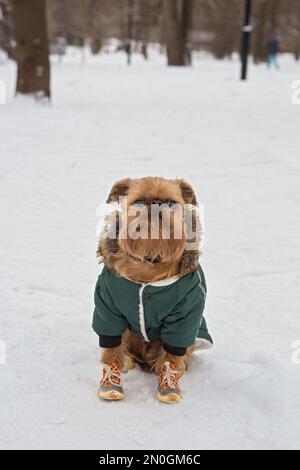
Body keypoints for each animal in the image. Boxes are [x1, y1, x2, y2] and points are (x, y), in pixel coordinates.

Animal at [92, 177, 212, 404]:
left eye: (171, 203)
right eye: (139, 201)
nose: (156, 204)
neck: (150, 259)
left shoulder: (184, 317)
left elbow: (172, 354)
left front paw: (169, 384)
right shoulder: (107, 307)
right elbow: (111, 347)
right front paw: (110, 382)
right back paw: (127, 361)